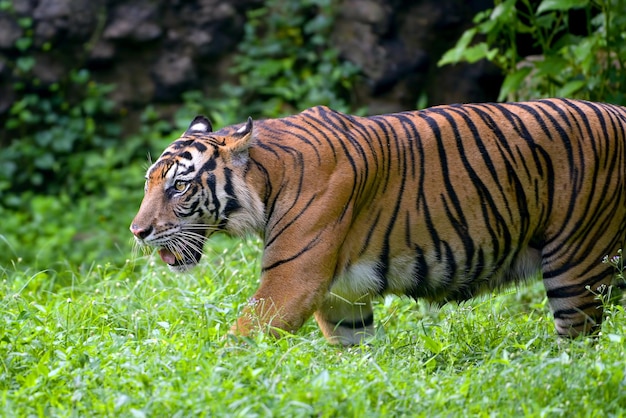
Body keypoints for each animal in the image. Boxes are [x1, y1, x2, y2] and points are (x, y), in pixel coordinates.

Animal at [130, 99, 624, 346]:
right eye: (149, 182)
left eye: (179, 186)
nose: (138, 232)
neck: (267, 180)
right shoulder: (342, 297)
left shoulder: (291, 282)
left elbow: (238, 341)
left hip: (576, 266)